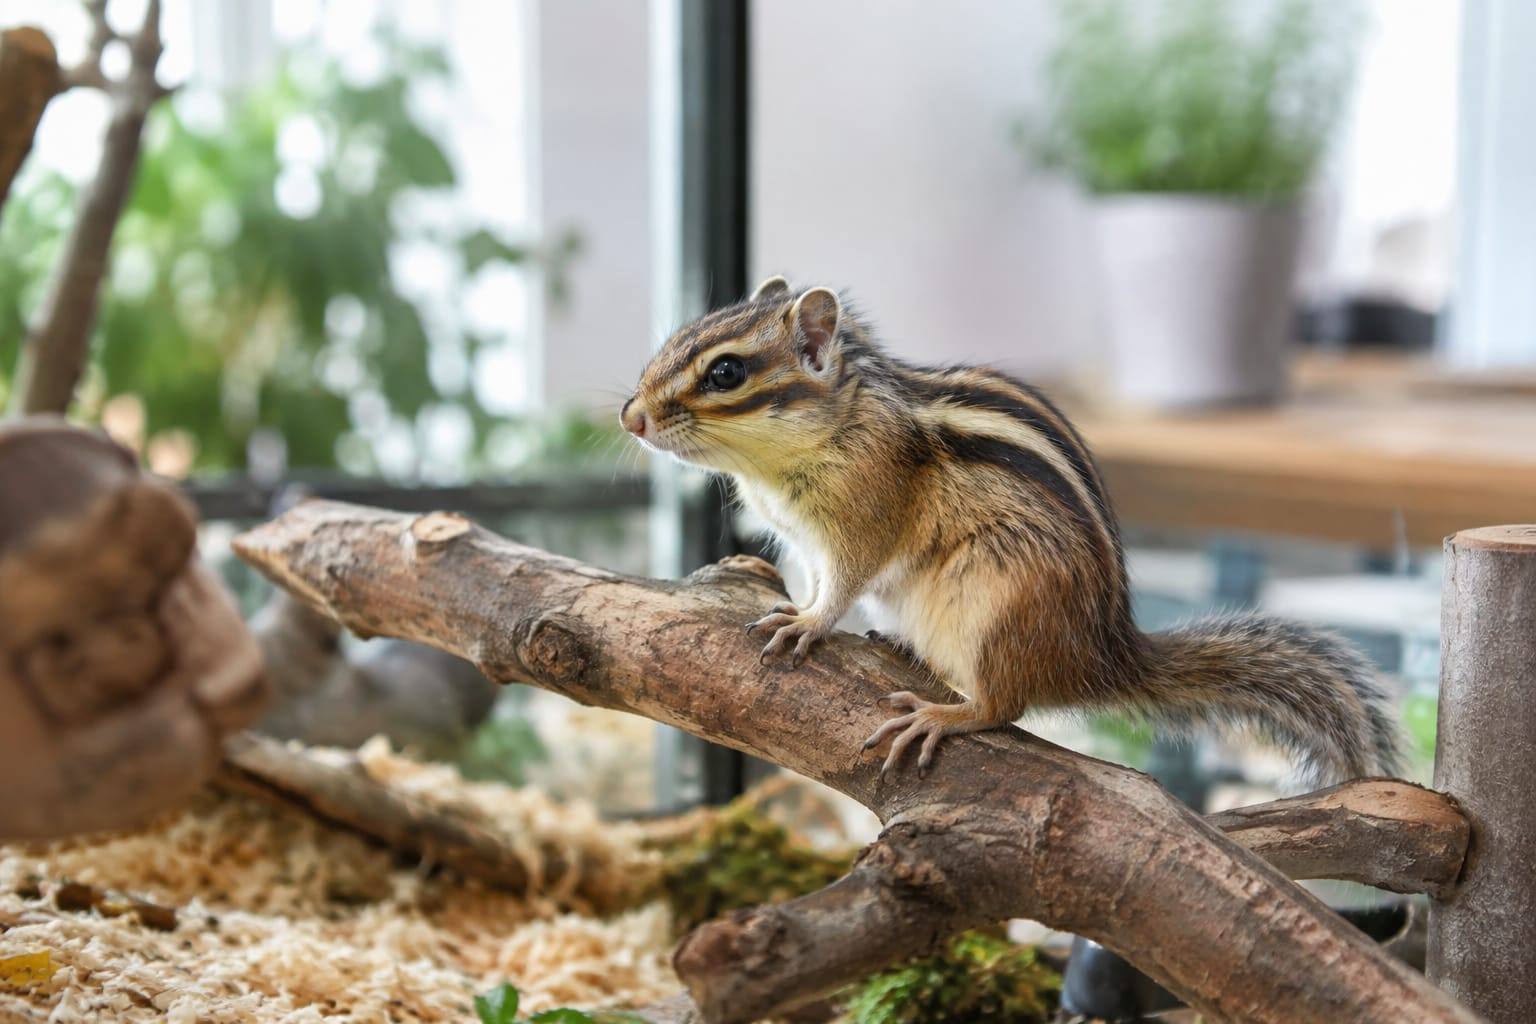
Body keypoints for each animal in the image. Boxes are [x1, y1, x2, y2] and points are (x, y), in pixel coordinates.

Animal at [621, 276, 1402, 783]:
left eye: (726, 372)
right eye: (675, 340)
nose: (631, 417)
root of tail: (1104, 654)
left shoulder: (864, 516)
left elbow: (844, 580)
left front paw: (808, 621)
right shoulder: (799, 535)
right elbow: (813, 574)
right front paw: (787, 597)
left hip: (997, 607)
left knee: (1005, 705)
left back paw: (943, 717)